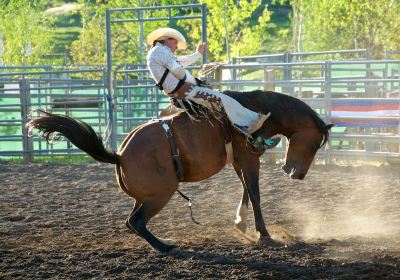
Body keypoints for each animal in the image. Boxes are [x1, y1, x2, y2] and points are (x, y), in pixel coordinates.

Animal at [28, 91, 332, 253]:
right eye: (315, 143)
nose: (297, 174)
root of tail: (120, 154)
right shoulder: (248, 157)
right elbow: (255, 192)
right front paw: (263, 233)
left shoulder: (239, 161)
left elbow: (246, 189)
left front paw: (241, 223)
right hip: (161, 194)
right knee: (136, 221)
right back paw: (165, 247)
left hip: (147, 196)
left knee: (132, 221)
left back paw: (164, 242)